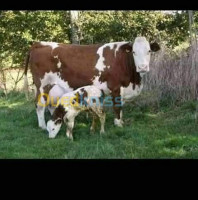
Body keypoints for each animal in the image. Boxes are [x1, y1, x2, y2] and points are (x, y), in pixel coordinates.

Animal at [23, 37, 159, 130]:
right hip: (42, 86)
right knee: (39, 105)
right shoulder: (115, 88)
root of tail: (39, 43)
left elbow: (121, 108)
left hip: (53, 87)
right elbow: (117, 107)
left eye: (149, 51)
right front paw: (118, 125)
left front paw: (121, 122)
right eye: (134, 52)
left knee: (51, 105)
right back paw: (42, 126)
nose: (142, 67)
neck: (133, 81)